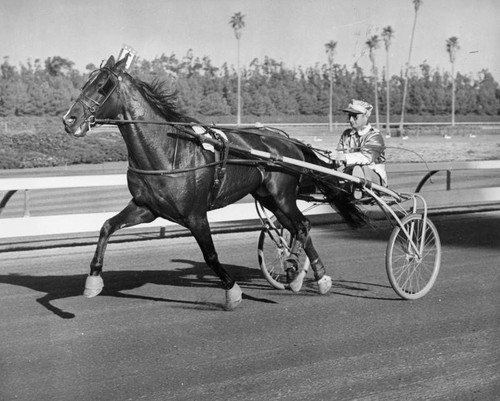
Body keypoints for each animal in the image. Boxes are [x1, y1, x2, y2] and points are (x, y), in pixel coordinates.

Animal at [62, 54, 364, 310]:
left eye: (103, 86)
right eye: (86, 82)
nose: (69, 119)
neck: (166, 152)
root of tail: (287, 142)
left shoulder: (195, 214)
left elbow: (210, 255)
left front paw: (232, 291)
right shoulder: (146, 207)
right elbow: (106, 226)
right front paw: (93, 279)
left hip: (282, 195)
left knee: (303, 225)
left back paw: (298, 273)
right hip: (269, 198)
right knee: (297, 227)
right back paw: (316, 277)